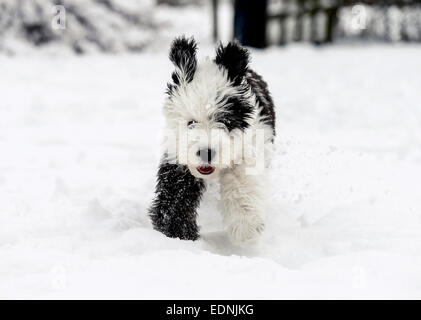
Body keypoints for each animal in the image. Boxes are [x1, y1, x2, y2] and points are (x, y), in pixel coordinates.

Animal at [149, 36, 274, 245]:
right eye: (191, 122)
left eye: (225, 121)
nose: (206, 152)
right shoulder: (177, 155)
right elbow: (176, 191)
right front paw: (177, 232)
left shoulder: (249, 146)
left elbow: (241, 182)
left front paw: (246, 227)